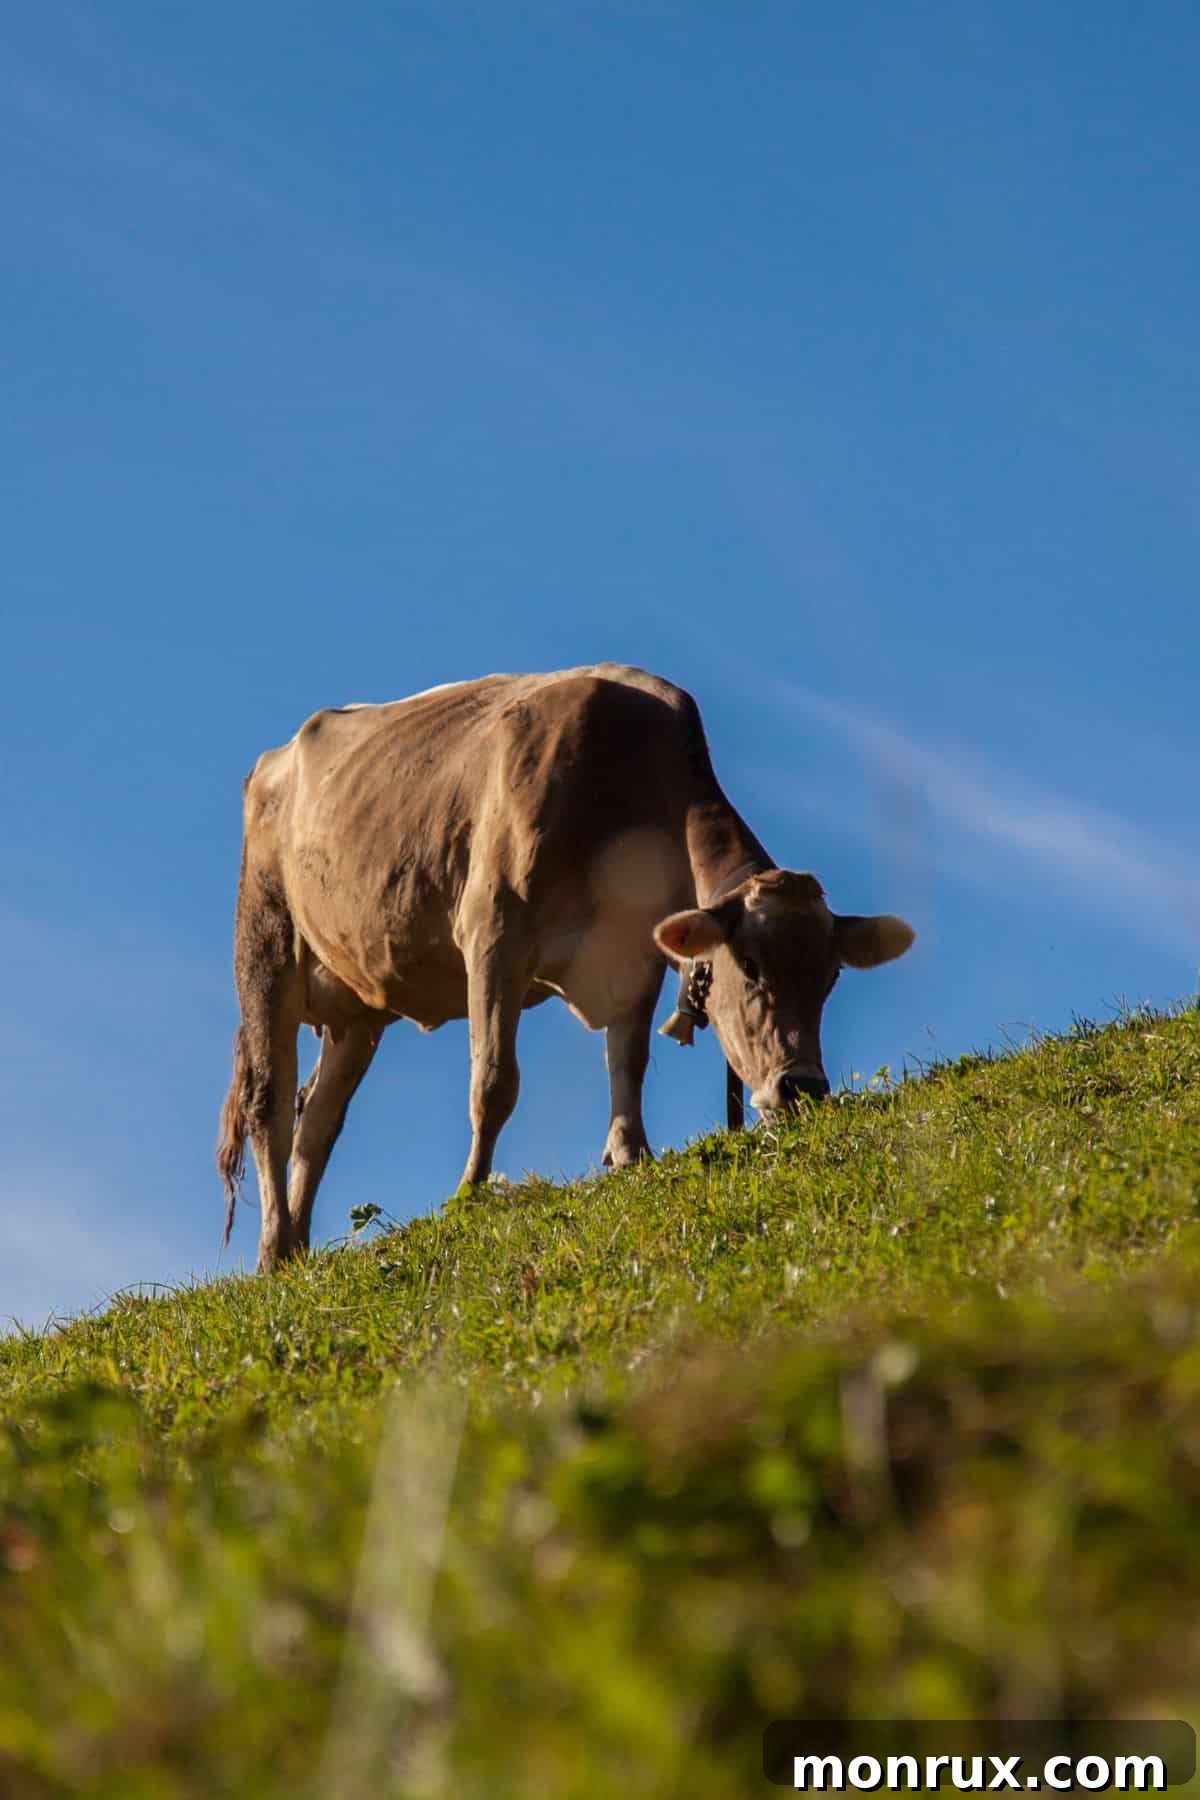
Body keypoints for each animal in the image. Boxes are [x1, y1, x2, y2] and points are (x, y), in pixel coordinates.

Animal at [217, 665, 914, 1271]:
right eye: (748, 963)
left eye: (830, 977)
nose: (803, 1088)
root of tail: (277, 758)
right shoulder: (494, 930)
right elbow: (494, 1081)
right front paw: (470, 1193)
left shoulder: (634, 951)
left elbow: (627, 1060)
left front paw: (631, 1153)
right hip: (265, 948)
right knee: (270, 1104)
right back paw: (274, 1247)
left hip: (357, 1008)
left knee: (318, 1120)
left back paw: (296, 1249)